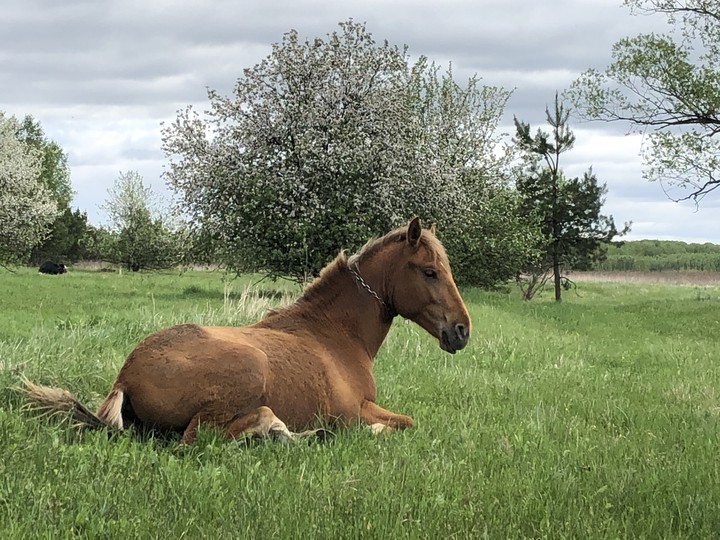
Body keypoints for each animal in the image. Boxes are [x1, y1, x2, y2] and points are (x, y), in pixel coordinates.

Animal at [23, 218, 471, 443]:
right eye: (429, 271)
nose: (462, 330)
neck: (334, 335)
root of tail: (125, 376)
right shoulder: (352, 412)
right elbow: (401, 422)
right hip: (248, 368)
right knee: (198, 438)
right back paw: (276, 430)